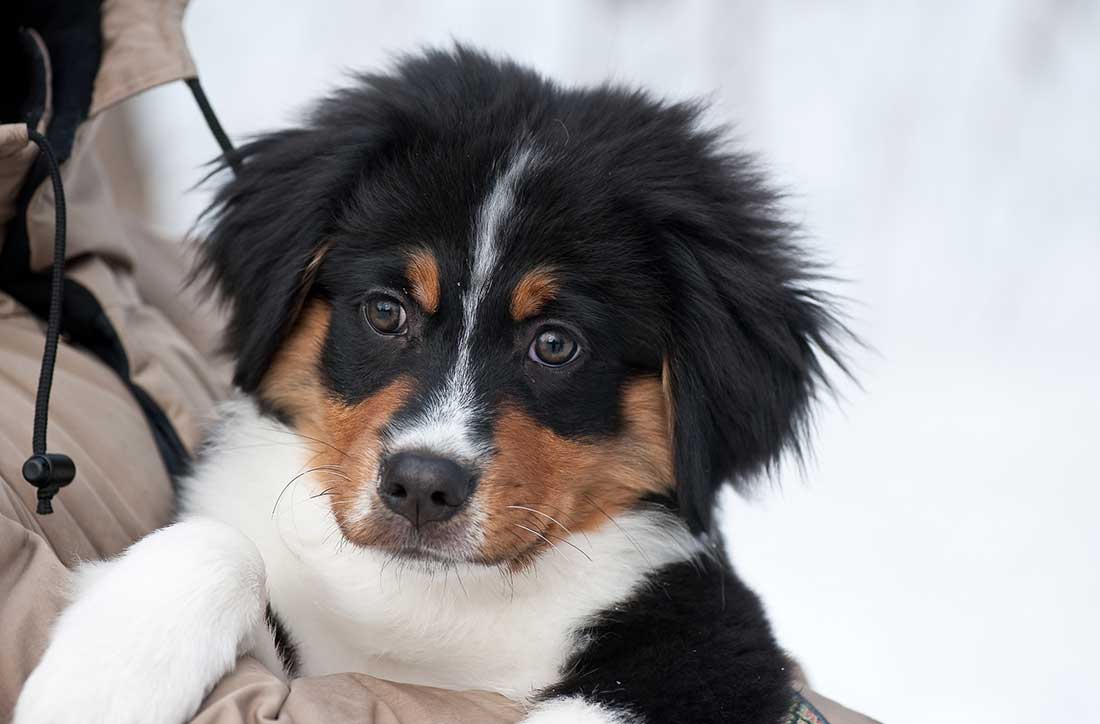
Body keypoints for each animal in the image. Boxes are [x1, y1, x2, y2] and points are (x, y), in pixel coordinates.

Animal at [15, 46, 840, 721]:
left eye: (555, 344)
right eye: (387, 311)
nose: (420, 486)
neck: (430, 606)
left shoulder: (717, 642)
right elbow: (212, 543)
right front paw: (95, 687)